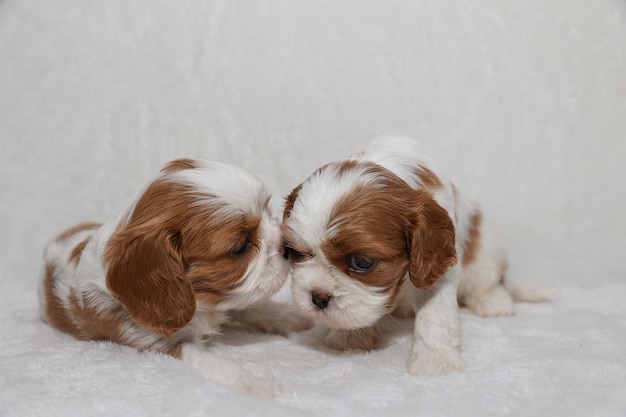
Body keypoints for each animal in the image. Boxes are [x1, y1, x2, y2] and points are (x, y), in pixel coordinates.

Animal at [38, 158, 310, 394]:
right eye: (240, 246)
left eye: (268, 209)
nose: (287, 246)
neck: (201, 302)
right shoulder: (156, 344)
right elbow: (219, 365)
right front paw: (260, 385)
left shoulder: (229, 295)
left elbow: (258, 307)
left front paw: (292, 317)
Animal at [280, 136, 544, 374]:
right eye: (297, 253)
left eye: (362, 262)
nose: (318, 298)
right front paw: (350, 337)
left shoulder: (436, 267)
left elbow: (435, 314)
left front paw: (436, 361)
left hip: (486, 254)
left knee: (489, 280)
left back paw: (494, 302)